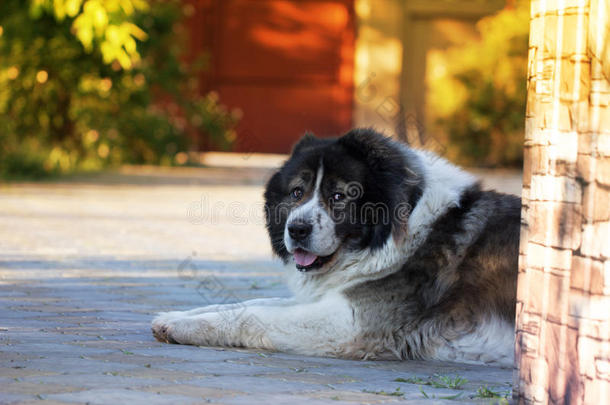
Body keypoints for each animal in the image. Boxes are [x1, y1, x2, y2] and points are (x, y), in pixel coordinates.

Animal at [152, 128, 516, 364]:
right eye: (297, 192)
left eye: (340, 196)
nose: (297, 229)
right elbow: (250, 302)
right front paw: (175, 317)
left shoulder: (351, 323)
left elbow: (254, 315)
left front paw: (186, 326)